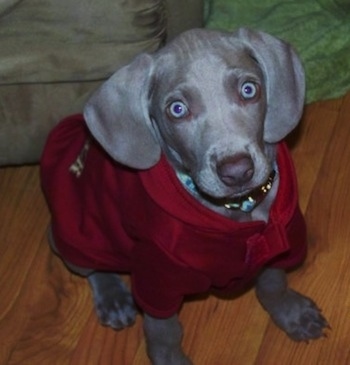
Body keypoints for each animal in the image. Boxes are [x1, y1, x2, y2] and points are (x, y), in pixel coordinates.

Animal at [41, 28, 328, 364]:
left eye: (248, 90)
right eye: (177, 109)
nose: (237, 171)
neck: (238, 210)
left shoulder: (279, 240)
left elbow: (273, 282)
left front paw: (291, 313)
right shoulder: (158, 276)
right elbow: (164, 333)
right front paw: (169, 358)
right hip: (77, 234)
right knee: (91, 266)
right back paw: (113, 297)